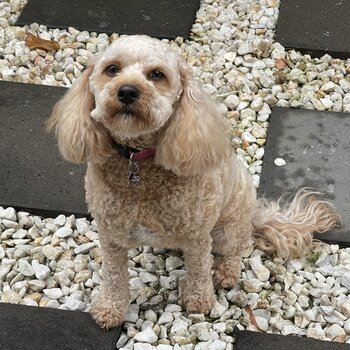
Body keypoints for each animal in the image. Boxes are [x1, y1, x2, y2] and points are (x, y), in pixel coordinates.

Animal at [47, 34, 340, 330]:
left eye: (157, 75)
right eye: (112, 69)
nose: (127, 91)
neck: (138, 161)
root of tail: (254, 213)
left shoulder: (197, 234)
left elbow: (199, 269)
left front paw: (199, 301)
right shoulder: (110, 235)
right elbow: (113, 275)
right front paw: (110, 308)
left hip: (227, 228)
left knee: (235, 248)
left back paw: (225, 272)